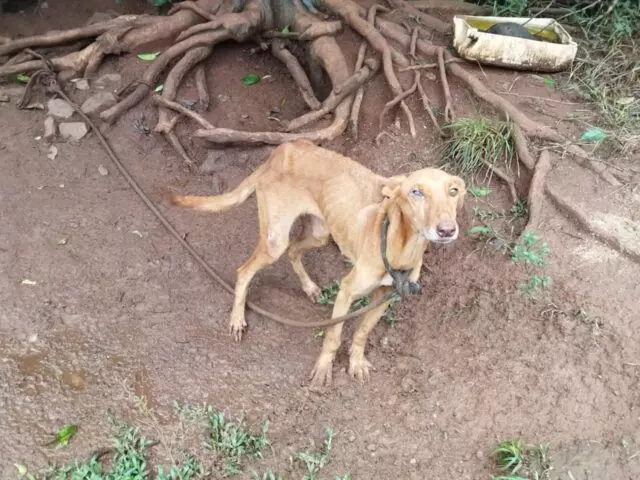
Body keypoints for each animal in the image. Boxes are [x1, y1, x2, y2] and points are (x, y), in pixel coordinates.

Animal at [168, 141, 464, 388]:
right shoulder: (347, 291)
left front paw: (356, 362)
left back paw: (308, 287)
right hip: (275, 240)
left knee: (293, 251)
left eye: (453, 191)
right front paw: (323, 369)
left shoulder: (386, 296)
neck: (400, 245)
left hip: (319, 233)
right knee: (244, 271)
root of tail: (281, 149)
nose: (447, 230)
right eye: (416, 192)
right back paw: (237, 319)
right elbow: (333, 336)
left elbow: (362, 332)